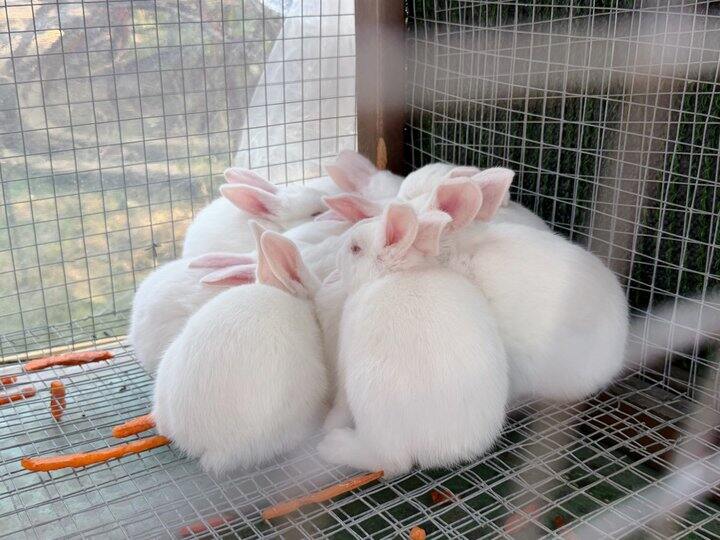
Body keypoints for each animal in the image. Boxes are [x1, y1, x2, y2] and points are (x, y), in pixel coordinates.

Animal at [317, 202, 509, 477]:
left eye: (355, 249)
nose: (337, 254)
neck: (394, 274)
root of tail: (437, 449)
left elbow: (340, 403)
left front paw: (329, 425)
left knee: (390, 462)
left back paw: (333, 445)